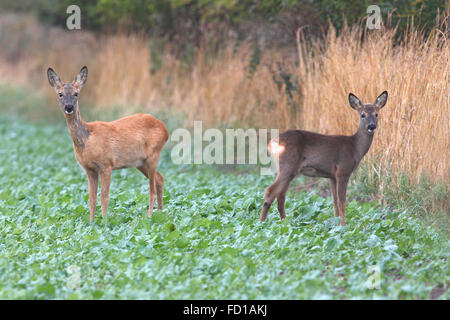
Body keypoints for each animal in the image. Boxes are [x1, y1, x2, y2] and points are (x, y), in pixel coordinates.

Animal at [46, 67, 169, 222]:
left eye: (76, 93)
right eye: (60, 94)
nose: (69, 107)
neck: (87, 140)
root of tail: (165, 129)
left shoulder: (107, 164)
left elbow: (104, 197)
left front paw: (104, 222)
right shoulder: (89, 169)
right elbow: (91, 199)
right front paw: (91, 222)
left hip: (153, 154)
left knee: (151, 189)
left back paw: (150, 217)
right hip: (140, 162)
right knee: (160, 179)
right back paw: (160, 213)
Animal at [258, 90, 388, 226]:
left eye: (376, 114)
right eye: (362, 115)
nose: (371, 126)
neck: (355, 147)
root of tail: (272, 143)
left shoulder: (332, 176)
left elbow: (335, 201)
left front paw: (336, 223)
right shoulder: (343, 171)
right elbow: (342, 201)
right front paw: (343, 225)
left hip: (286, 170)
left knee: (281, 196)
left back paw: (285, 222)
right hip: (288, 166)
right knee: (270, 191)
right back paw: (261, 223)